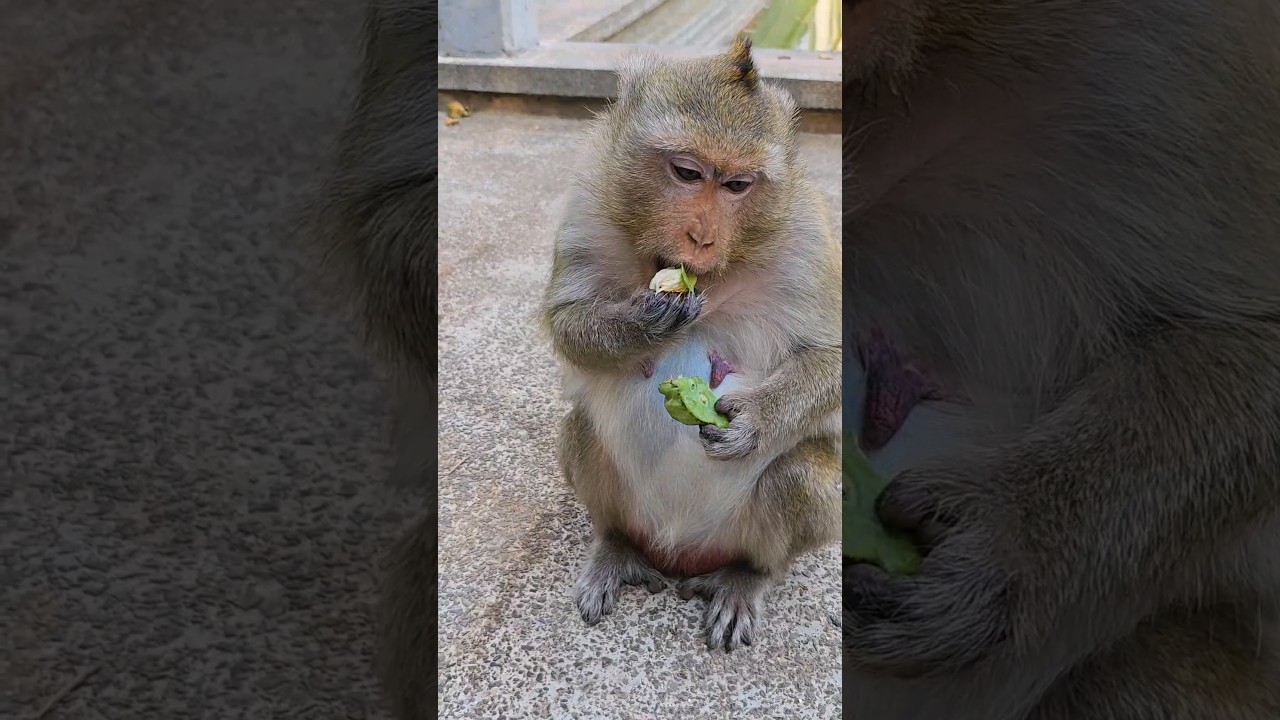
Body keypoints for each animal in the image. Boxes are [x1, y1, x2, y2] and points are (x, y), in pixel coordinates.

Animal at [540, 37, 843, 652]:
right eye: (686, 172)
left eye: (737, 185)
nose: (701, 237)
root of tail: (679, 555)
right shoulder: (590, 200)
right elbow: (566, 320)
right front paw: (643, 322)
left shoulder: (807, 236)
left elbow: (836, 358)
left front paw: (754, 419)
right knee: (580, 429)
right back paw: (616, 546)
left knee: (799, 475)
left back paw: (748, 577)